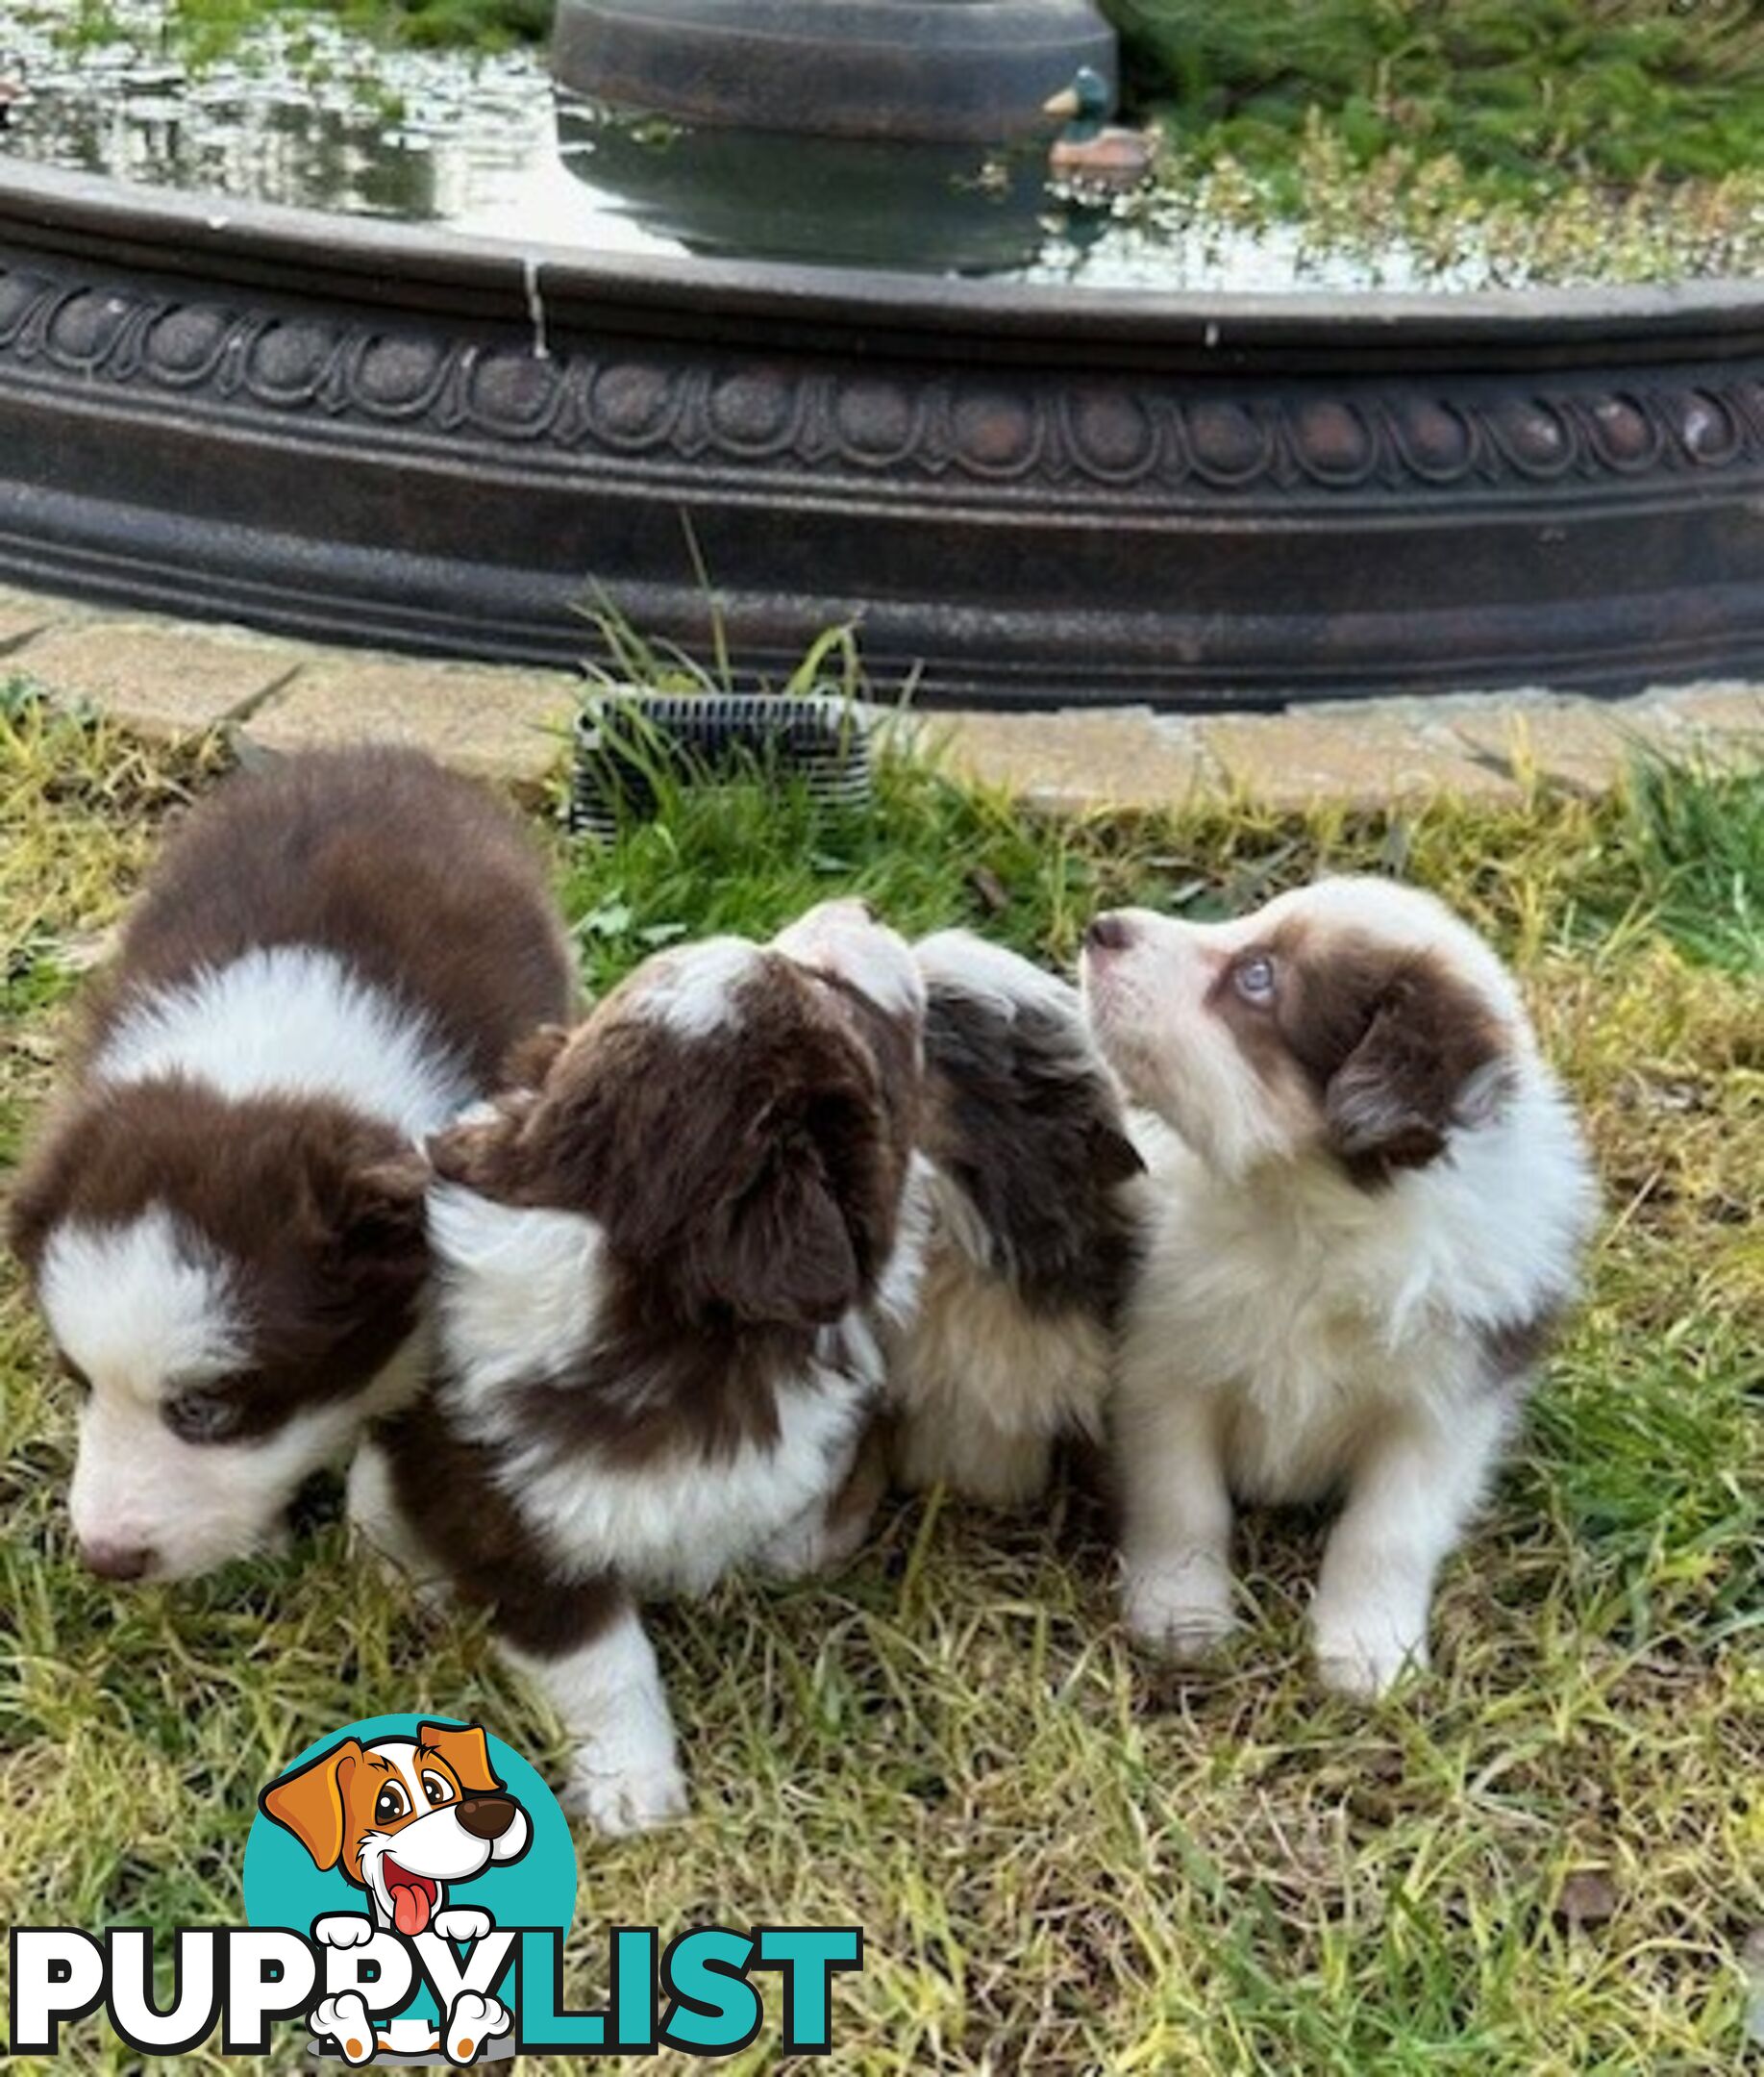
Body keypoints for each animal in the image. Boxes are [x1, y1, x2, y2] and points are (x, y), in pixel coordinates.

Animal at [5, 756, 568, 1578]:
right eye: (75, 1379)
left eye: (204, 1408)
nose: (107, 1559)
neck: (262, 1072)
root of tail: (364, 758)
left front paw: (394, 1559)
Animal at [350, 897, 930, 1836]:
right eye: (830, 992)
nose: (861, 907)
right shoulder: (522, 1530)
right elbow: (605, 1660)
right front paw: (636, 1794)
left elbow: (803, 1526)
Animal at [1070, 876, 1593, 1703]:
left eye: (1257, 977)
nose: (1101, 927)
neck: (1309, 1217)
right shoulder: (1161, 1367)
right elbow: (1181, 1499)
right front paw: (1181, 1616)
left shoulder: (1444, 1409)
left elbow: (1387, 1530)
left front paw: (1369, 1655)